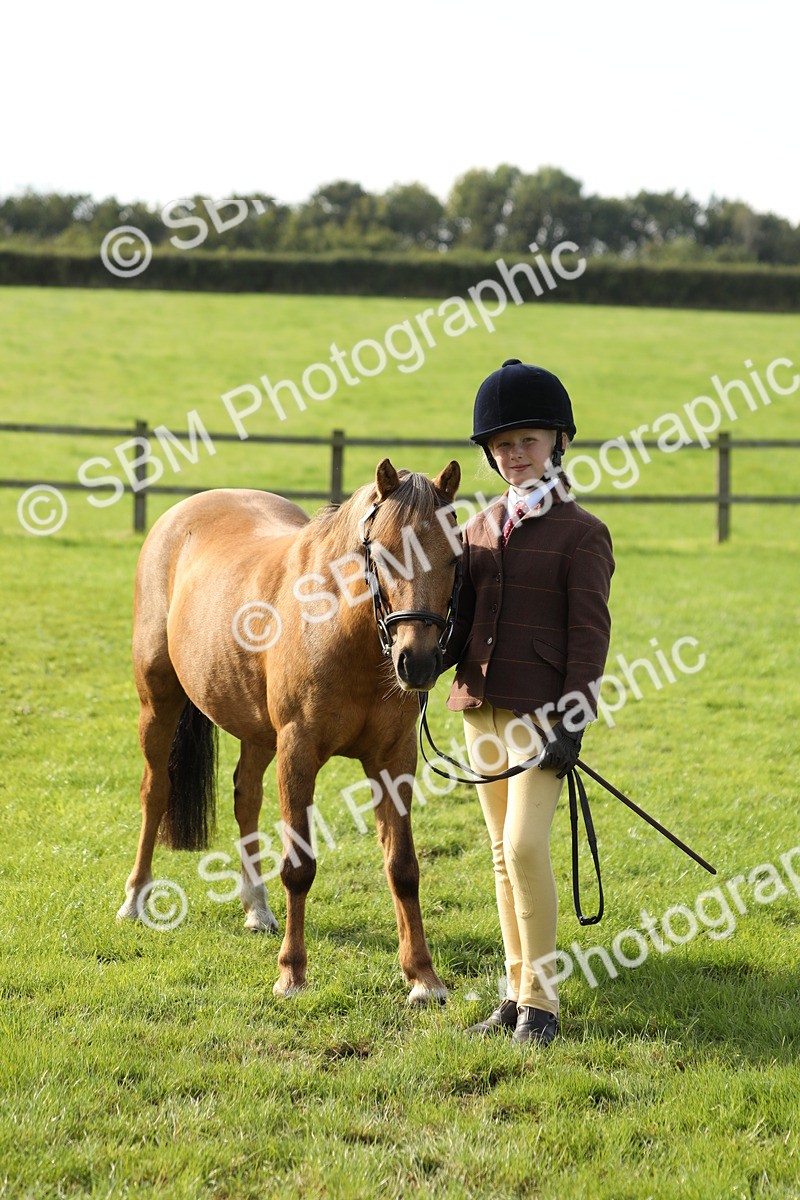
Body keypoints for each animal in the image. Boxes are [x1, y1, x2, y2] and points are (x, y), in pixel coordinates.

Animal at [117, 458, 461, 1003]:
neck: (341, 628)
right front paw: (292, 974)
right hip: (158, 703)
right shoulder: (298, 752)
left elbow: (403, 867)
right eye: (384, 554)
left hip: (257, 731)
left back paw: (256, 908)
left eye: (454, 557)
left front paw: (423, 978)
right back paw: (135, 898)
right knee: (156, 792)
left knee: (245, 797)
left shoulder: (394, 760)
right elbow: (299, 868)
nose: (419, 661)